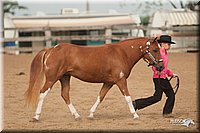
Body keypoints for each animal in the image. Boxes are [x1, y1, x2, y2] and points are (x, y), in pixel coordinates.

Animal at [25, 36, 163, 121]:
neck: (122, 53)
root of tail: (50, 49)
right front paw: (135, 115)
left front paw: (91, 114)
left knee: (65, 94)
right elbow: (128, 98)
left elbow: (100, 97)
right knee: (43, 93)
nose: (161, 66)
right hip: (52, 78)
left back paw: (76, 115)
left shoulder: (108, 83)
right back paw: (36, 117)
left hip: (65, 77)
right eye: (155, 49)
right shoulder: (121, 81)